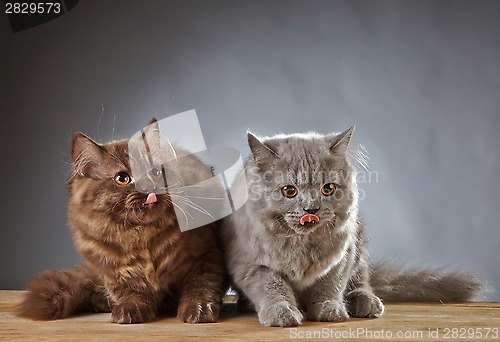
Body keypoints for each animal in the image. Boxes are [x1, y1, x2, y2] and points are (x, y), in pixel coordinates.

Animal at [19, 119, 227, 324]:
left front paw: (198, 309)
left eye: (155, 172)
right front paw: (130, 310)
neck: (141, 236)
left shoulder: (205, 255)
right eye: (122, 178)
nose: (150, 187)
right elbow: (131, 293)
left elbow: (200, 285)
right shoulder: (114, 272)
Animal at [223, 127, 484, 328]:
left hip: (359, 243)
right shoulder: (252, 265)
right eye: (289, 191)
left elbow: (330, 286)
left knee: (361, 281)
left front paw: (329, 309)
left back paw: (366, 303)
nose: (311, 209)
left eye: (328, 188)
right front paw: (283, 313)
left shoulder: (341, 257)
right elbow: (273, 288)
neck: (301, 244)